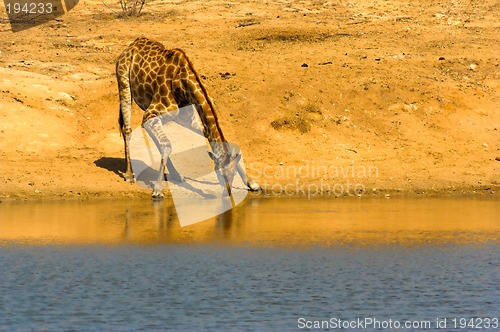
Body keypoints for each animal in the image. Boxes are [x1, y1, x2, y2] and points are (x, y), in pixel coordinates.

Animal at [114, 37, 260, 197]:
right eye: (219, 172)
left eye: (232, 174)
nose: (226, 193)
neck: (183, 85)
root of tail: (130, 47)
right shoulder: (150, 114)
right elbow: (167, 145)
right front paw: (157, 189)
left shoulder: (187, 119)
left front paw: (252, 183)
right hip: (124, 83)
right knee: (128, 129)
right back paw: (129, 175)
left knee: (157, 141)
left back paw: (176, 175)